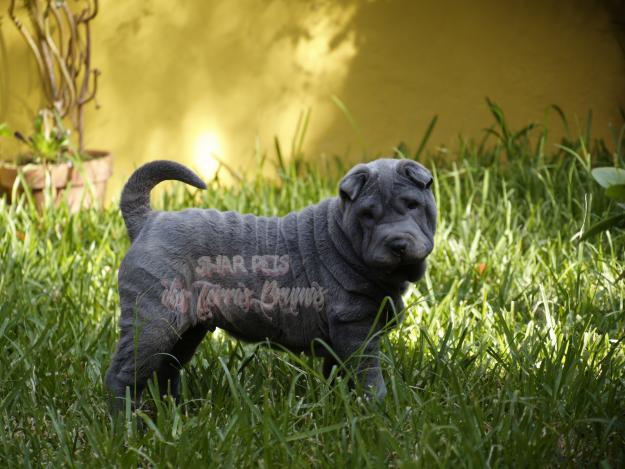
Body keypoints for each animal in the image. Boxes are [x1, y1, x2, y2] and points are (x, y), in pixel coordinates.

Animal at [103, 157, 434, 406]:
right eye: (368, 214)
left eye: (412, 205)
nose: (398, 244)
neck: (344, 237)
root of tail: (149, 221)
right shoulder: (355, 328)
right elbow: (368, 375)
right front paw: (378, 408)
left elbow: (338, 374)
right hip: (153, 321)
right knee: (122, 376)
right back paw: (128, 427)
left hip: (186, 330)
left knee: (165, 369)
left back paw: (175, 412)